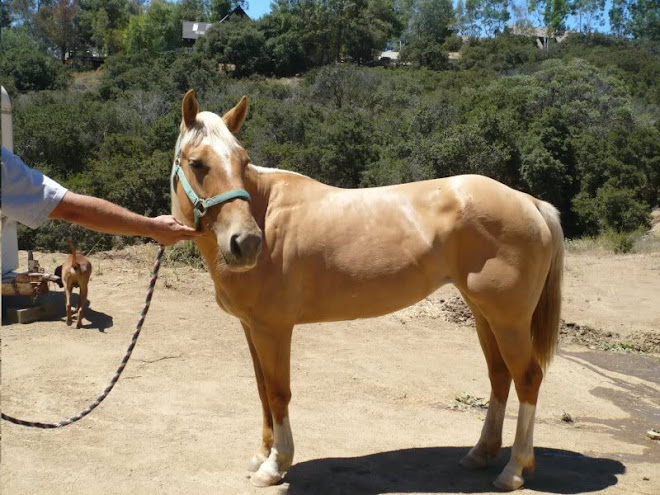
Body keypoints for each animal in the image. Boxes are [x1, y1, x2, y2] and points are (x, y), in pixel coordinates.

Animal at [169, 90, 564, 492]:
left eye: (243, 160)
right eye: (197, 163)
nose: (246, 243)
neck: (268, 214)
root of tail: (530, 202)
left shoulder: (272, 329)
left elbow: (279, 392)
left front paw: (275, 465)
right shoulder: (251, 328)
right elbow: (263, 390)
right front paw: (262, 455)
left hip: (509, 320)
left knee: (527, 378)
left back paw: (514, 469)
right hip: (484, 313)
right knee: (500, 375)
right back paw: (480, 454)